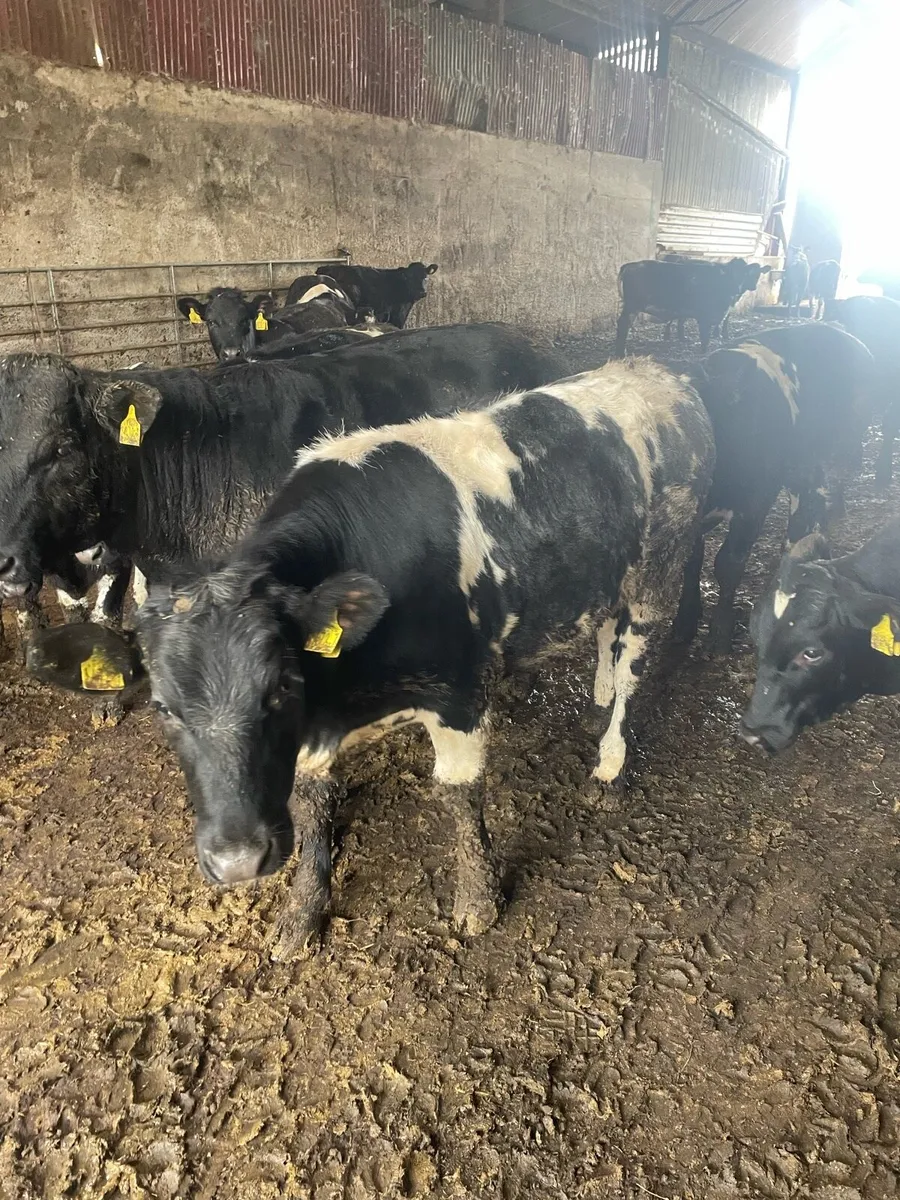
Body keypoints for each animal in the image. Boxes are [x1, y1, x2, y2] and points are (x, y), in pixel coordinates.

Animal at [30, 358, 714, 949]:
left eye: (278, 688)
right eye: (164, 710)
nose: (237, 860)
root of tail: (651, 369)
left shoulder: (461, 692)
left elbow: (460, 798)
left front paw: (479, 901)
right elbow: (312, 808)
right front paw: (302, 914)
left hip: (659, 576)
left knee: (636, 665)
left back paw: (611, 763)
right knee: (607, 633)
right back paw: (597, 689)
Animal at [615, 258, 769, 356]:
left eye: (746, 275)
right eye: (730, 274)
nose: (737, 289)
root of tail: (631, 264)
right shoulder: (705, 317)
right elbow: (705, 337)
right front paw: (704, 353)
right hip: (632, 305)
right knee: (623, 324)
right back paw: (621, 352)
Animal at [674, 323, 875, 654]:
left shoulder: (754, 503)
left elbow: (728, 563)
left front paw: (720, 635)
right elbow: (691, 561)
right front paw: (685, 621)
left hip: (837, 451)